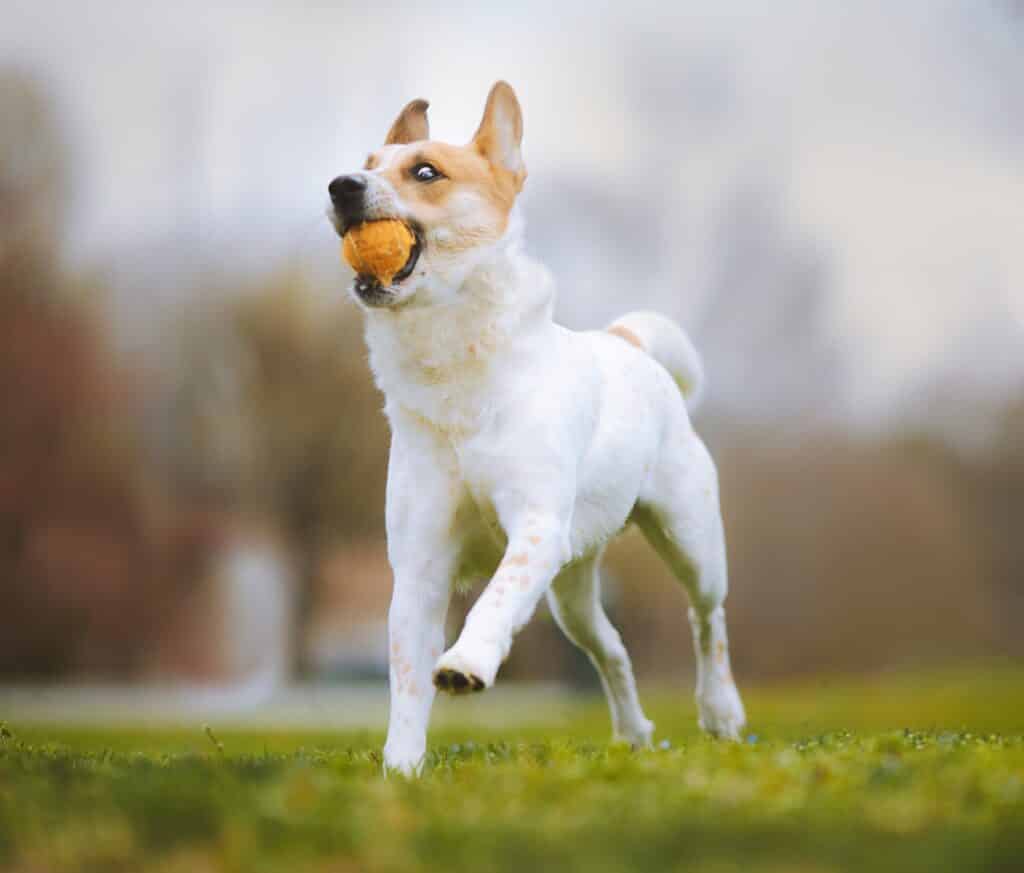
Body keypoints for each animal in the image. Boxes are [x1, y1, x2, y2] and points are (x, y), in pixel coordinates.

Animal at [327, 83, 745, 777]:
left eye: (425, 172)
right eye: (366, 162)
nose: (340, 186)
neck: (454, 365)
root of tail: (623, 341)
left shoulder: (537, 530)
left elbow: (495, 599)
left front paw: (465, 664)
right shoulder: (418, 564)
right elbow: (407, 677)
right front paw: (401, 771)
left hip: (689, 540)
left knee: (706, 620)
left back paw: (721, 713)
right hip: (571, 591)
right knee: (612, 649)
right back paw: (634, 733)